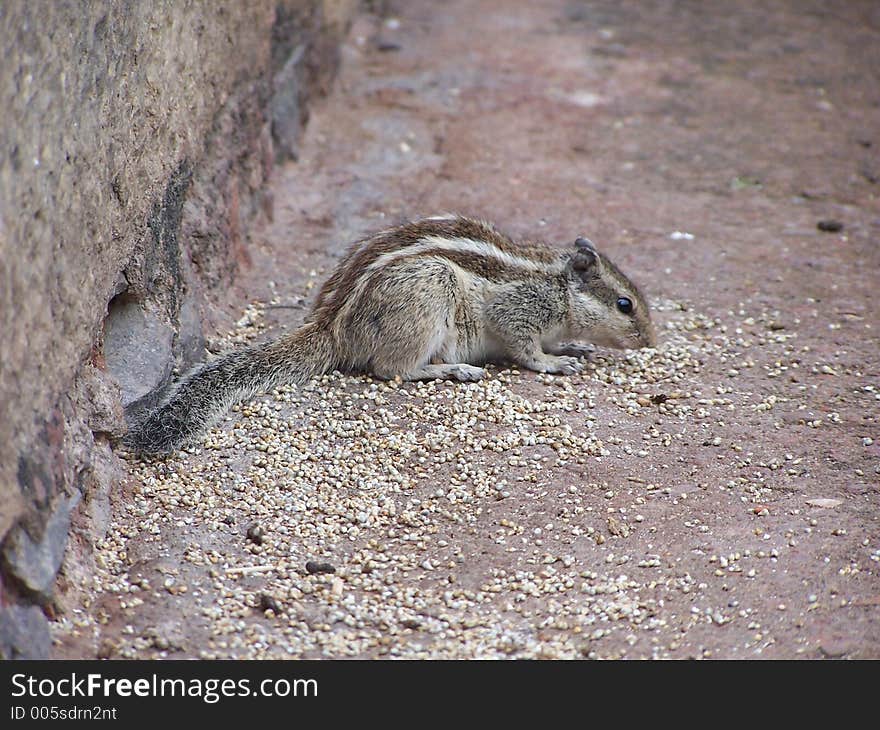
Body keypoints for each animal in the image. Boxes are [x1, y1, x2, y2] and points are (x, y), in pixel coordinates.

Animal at [127, 213, 656, 456]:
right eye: (625, 305)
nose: (650, 341)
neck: (557, 284)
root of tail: (333, 327)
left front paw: (572, 344)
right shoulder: (517, 312)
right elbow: (525, 349)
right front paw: (553, 361)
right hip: (429, 298)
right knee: (391, 369)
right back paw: (452, 369)